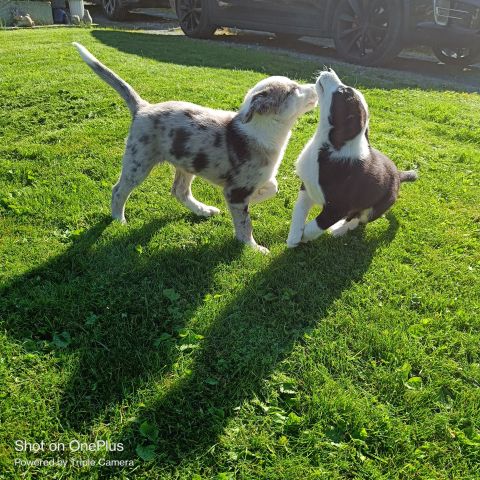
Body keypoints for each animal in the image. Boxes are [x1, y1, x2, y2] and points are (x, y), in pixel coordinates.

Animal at [72, 44, 318, 255]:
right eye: (293, 90)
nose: (316, 86)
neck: (266, 130)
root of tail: (143, 107)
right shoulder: (235, 192)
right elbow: (244, 223)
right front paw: (252, 247)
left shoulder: (255, 180)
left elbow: (273, 186)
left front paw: (257, 197)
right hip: (138, 162)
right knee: (118, 190)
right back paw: (119, 220)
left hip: (187, 162)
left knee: (179, 191)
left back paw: (203, 210)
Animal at [286, 68, 418, 248]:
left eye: (343, 91)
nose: (329, 70)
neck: (326, 145)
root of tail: (398, 174)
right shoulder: (306, 186)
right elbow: (298, 210)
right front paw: (293, 237)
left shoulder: (337, 208)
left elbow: (317, 224)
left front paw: (304, 236)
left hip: (376, 207)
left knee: (357, 220)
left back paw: (339, 230)